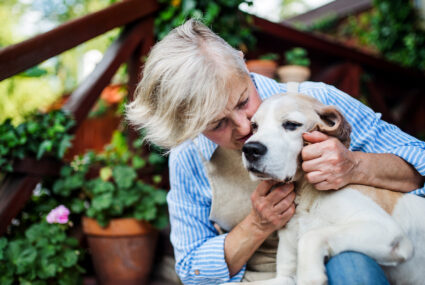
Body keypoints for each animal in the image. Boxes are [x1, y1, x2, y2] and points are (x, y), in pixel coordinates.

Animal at [232, 93, 424, 284]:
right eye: (254, 126)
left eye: (291, 124)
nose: (250, 149)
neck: (306, 198)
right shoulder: (285, 277)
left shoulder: (385, 229)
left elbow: (310, 237)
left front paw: (311, 277)